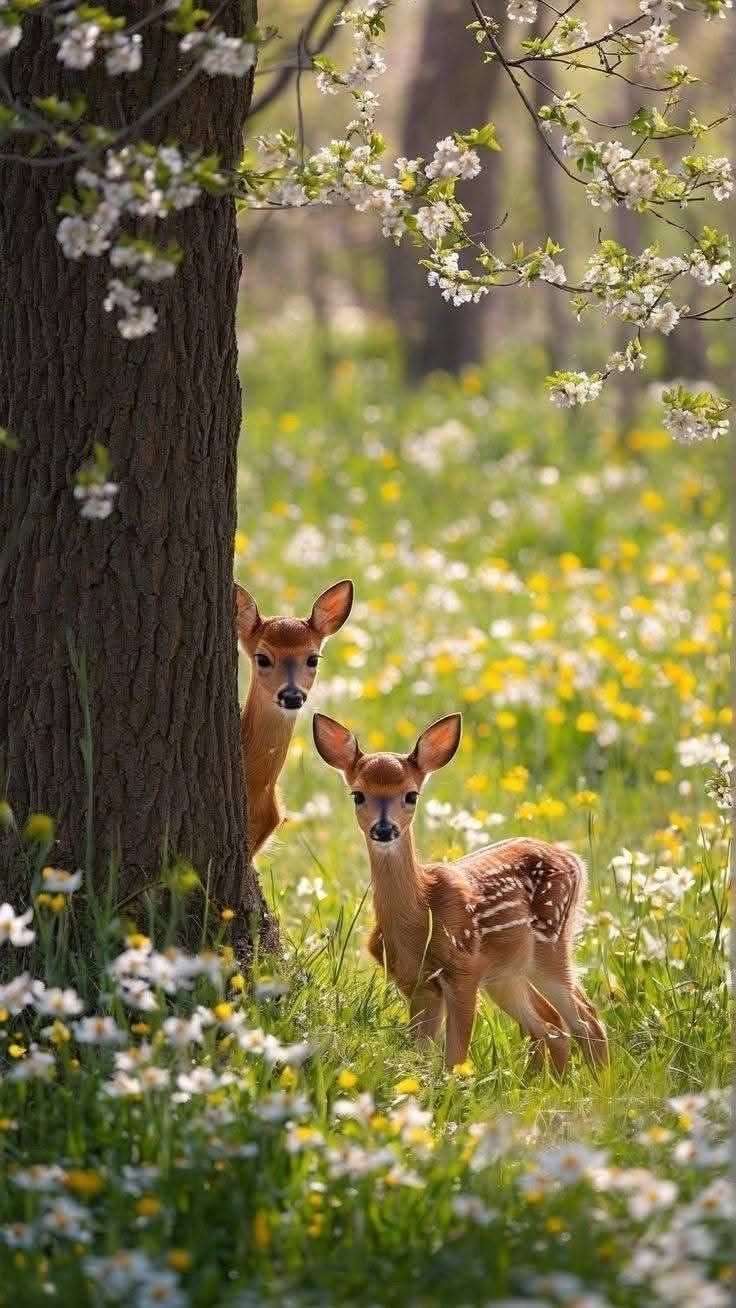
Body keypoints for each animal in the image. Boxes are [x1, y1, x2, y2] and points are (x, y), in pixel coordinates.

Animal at [312, 711, 608, 1074]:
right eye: (358, 795)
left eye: (411, 795)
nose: (383, 829)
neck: (419, 916)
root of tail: (576, 861)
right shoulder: (415, 983)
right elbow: (421, 1057)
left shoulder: (464, 970)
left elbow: (454, 1059)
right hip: (507, 975)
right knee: (551, 1028)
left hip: (550, 944)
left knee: (587, 1021)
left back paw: (600, 1085)